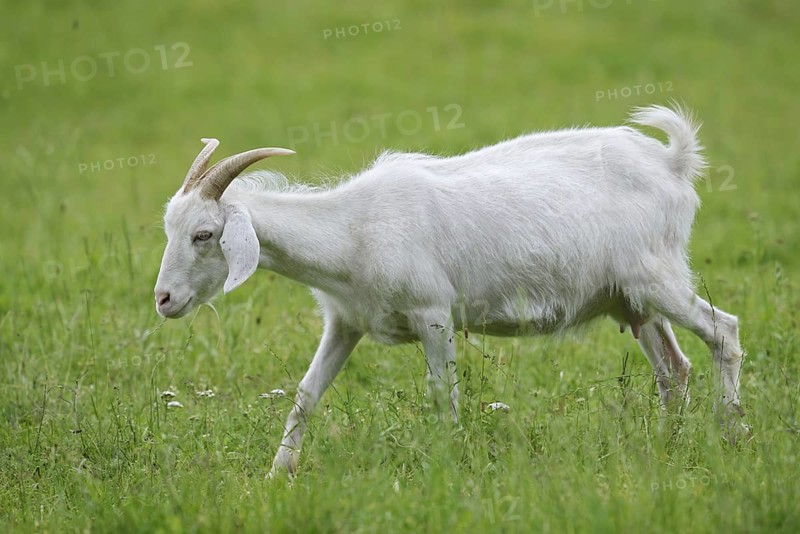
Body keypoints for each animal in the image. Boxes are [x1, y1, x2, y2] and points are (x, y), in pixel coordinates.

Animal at [153, 104, 746, 476]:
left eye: (203, 235)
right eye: (169, 227)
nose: (163, 300)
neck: (353, 229)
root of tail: (672, 163)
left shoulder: (433, 314)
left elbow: (443, 394)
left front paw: (446, 463)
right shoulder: (346, 323)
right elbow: (305, 394)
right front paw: (279, 473)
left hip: (658, 278)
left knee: (724, 331)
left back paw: (730, 433)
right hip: (632, 301)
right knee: (673, 369)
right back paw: (667, 445)